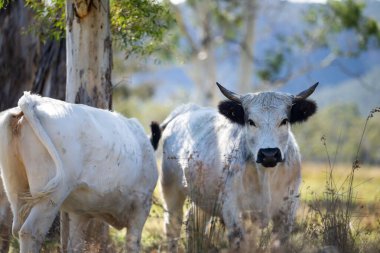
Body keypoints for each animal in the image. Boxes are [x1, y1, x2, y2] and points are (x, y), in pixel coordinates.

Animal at [0, 93, 158, 253]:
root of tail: (33, 100)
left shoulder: (80, 213)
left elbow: (75, 245)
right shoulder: (142, 204)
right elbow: (133, 242)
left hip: (15, 187)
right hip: (52, 195)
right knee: (30, 231)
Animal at [150, 82, 320, 250]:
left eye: (284, 121)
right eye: (250, 121)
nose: (269, 154)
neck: (265, 176)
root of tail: (186, 110)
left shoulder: (286, 213)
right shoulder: (233, 212)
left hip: (203, 198)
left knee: (193, 223)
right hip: (170, 189)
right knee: (172, 226)